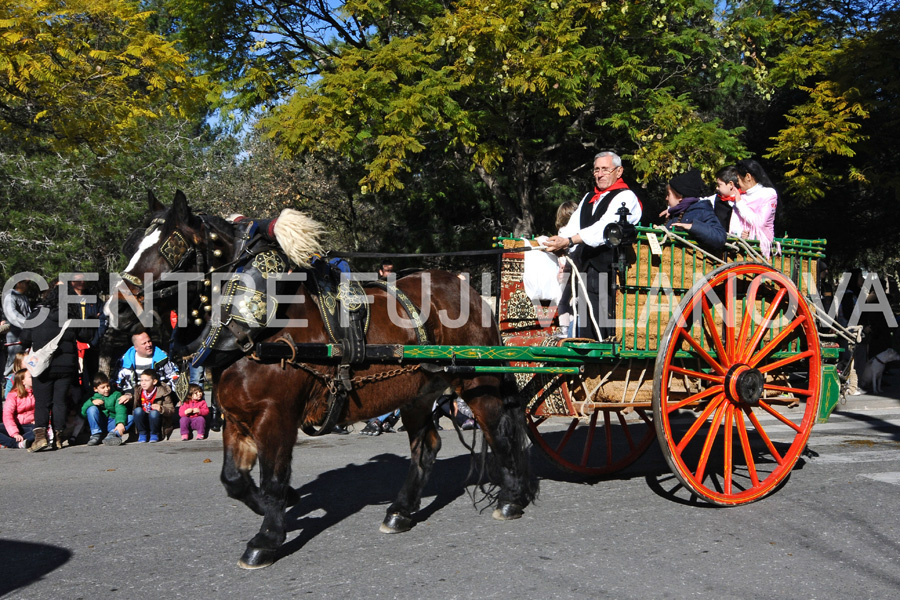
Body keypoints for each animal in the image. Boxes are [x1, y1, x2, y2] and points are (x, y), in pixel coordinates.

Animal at [108, 191, 536, 568]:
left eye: (170, 248)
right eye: (132, 243)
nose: (117, 313)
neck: (255, 330)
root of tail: (471, 293)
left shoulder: (275, 415)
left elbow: (273, 477)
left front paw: (267, 539)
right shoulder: (235, 417)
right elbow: (233, 479)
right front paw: (280, 507)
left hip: (475, 383)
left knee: (499, 432)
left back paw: (511, 499)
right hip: (417, 392)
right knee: (426, 446)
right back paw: (401, 511)